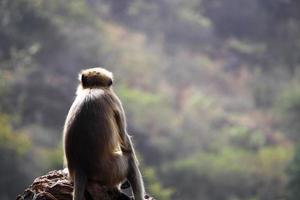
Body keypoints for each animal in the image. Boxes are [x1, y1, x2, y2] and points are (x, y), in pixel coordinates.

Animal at [63, 67, 146, 200]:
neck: (94, 87)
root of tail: (80, 167)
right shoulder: (115, 99)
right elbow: (124, 138)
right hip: (111, 170)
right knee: (130, 160)